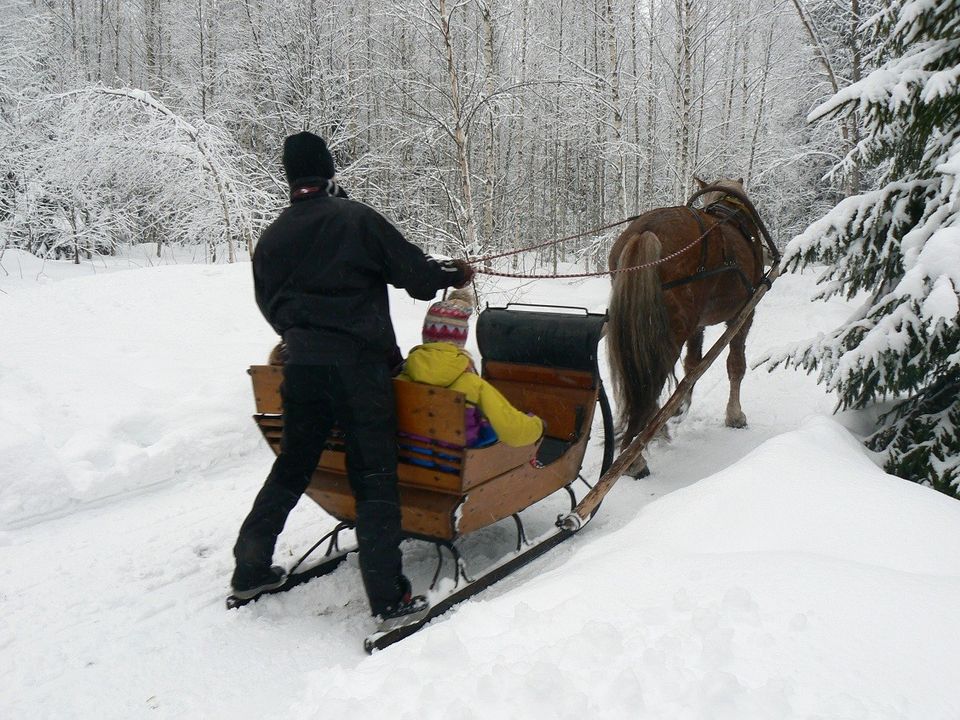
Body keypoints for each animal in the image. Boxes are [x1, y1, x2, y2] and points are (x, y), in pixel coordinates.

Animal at [608, 176, 764, 476]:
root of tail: (644, 231)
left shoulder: (698, 326)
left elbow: (692, 366)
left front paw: (681, 405)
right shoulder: (744, 315)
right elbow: (736, 366)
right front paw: (735, 415)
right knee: (649, 384)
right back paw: (634, 459)